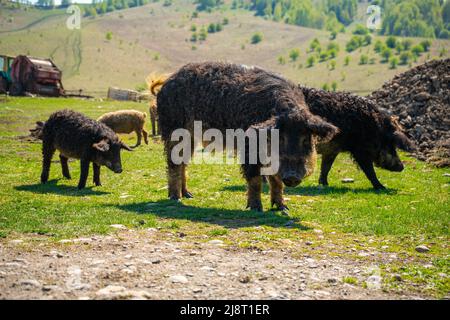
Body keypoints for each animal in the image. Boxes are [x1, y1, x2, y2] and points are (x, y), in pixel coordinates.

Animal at [151, 62, 338, 212]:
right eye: (281, 138)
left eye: (306, 139)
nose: (292, 176)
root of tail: (166, 82)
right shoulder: (249, 147)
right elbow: (254, 178)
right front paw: (256, 209)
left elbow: (276, 180)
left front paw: (283, 208)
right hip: (173, 128)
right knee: (173, 163)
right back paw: (176, 198)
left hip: (191, 137)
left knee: (183, 162)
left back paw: (189, 195)